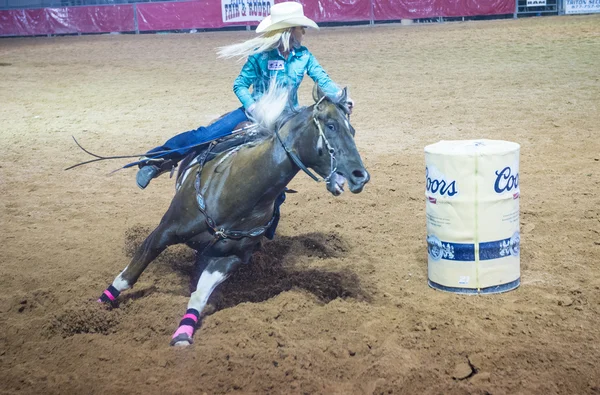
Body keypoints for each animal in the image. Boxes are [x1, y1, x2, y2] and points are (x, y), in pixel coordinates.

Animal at [97, 86, 370, 346]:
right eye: (331, 126)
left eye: (353, 130)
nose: (361, 176)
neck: (239, 191)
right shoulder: (165, 231)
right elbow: (129, 274)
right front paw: (98, 307)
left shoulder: (230, 258)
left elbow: (199, 294)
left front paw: (183, 333)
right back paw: (149, 166)